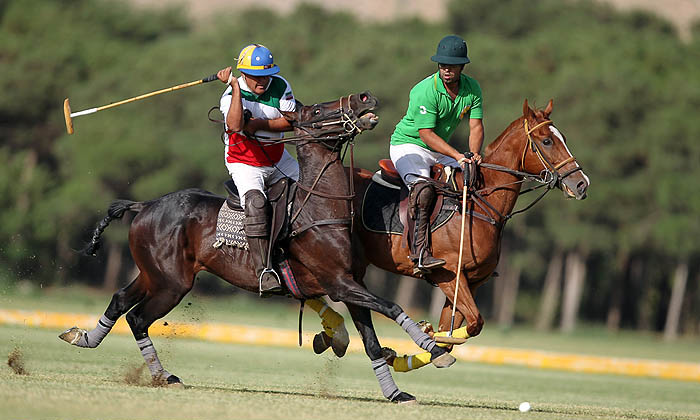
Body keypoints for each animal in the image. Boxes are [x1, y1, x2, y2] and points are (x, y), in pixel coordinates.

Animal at [58, 92, 454, 404]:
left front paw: (396, 392)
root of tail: (144, 205)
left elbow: (371, 342)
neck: (323, 207)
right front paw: (436, 349)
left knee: (119, 301)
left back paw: (84, 337)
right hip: (172, 283)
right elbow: (391, 306)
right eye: (315, 110)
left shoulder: (351, 283)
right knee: (138, 318)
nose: (365, 97)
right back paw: (164, 376)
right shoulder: (340, 283)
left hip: (152, 273)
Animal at [350, 100, 592, 370]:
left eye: (564, 138)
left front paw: (421, 344)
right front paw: (423, 334)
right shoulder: (448, 274)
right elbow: (474, 322)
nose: (582, 184)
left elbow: (454, 332)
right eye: (547, 140)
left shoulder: (471, 281)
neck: (480, 204)